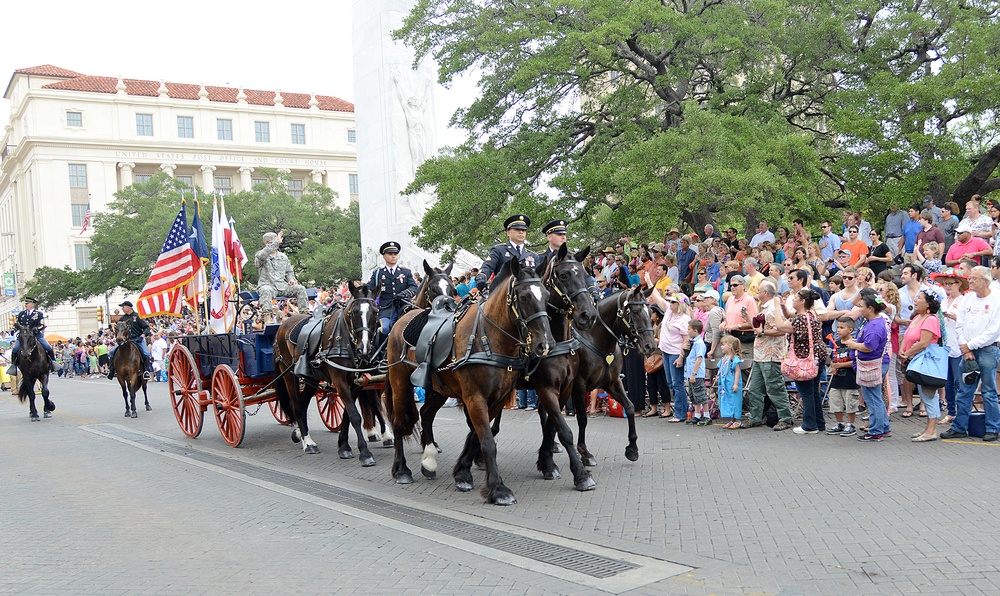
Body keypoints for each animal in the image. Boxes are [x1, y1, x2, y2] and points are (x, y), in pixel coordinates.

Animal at [272, 282, 380, 460]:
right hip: (289, 375)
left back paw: (301, 435)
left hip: (312, 379)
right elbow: (354, 415)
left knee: (302, 404)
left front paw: (343, 446)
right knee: (296, 405)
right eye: (355, 312)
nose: (364, 347)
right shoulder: (340, 382)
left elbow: (347, 415)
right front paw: (364, 452)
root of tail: (283, 325)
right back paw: (308, 442)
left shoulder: (356, 384)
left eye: (375, 311)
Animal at [386, 258, 556, 506]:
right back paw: (401, 470)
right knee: (399, 423)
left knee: (426, 414)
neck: (489, 339)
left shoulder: (496, 399)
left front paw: (462, 473)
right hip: (399, 382)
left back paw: (429, 461)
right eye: (524, 297)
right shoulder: (475, 397)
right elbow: (487, 441)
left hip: (439, 389)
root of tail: (402, 320)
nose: (545, 344)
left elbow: (478, 435)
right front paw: (498, 489)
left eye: (546, 295)